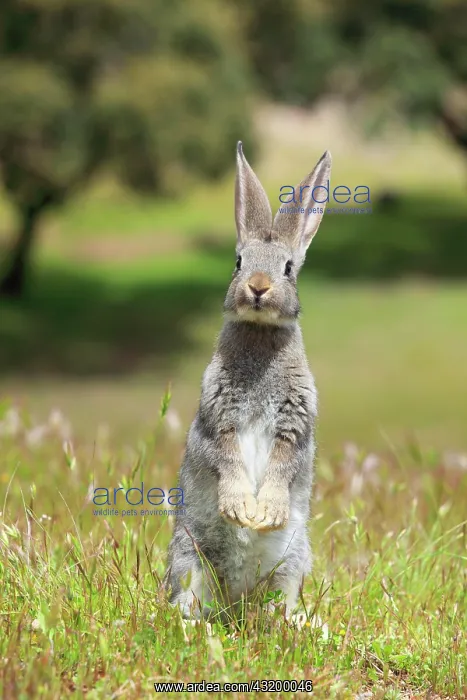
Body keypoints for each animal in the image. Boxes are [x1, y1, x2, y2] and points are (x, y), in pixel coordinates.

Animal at [164, 143, 332, 620]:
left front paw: (264, 514)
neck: (259, 331)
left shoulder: (295, 422)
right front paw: (242, 510)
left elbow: (284, 464)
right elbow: (226, 457)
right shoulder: (217, 416)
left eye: (289, 268)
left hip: (293, 560)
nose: (257, 287)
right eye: (238, 262)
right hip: (188, 554)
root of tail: (236, 598)